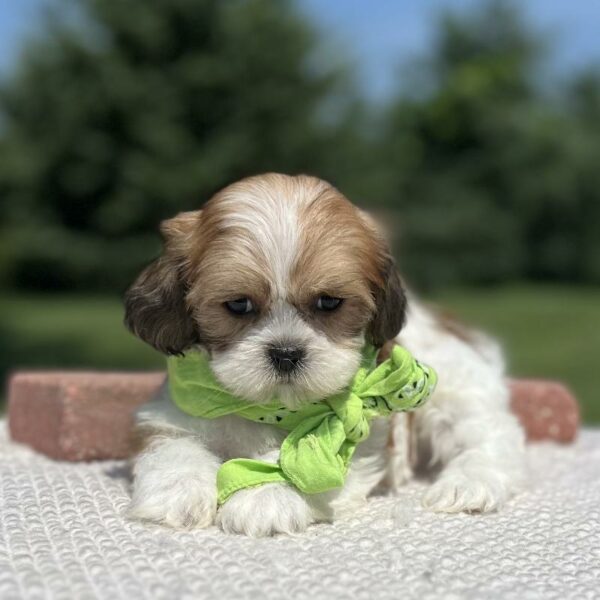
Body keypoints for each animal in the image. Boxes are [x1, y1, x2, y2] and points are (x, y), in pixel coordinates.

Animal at [123, 172, 524, 536]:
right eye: (238, 304)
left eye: (329, 302)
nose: (286, 352)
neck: (273, 409)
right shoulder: (175, 411)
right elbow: (173, 446)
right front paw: (177, 492)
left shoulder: (362, 436)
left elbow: (299, 462)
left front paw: (266, 495)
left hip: (456, 388)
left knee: (491, 435)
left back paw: (468, 484)